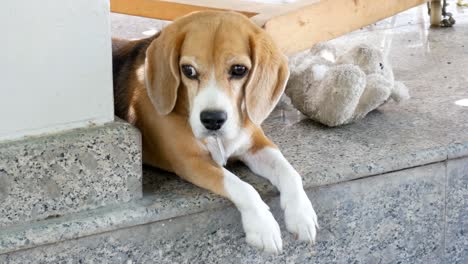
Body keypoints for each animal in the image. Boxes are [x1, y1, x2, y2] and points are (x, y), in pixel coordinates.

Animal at [112, 10, 318, 254]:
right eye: (188, 70)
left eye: (239, 70)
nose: (212, 119)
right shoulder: (190, 161)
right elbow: (242, 186)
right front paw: (263, 226)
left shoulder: (257, 144)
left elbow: (289, 172)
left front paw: (301, 214)